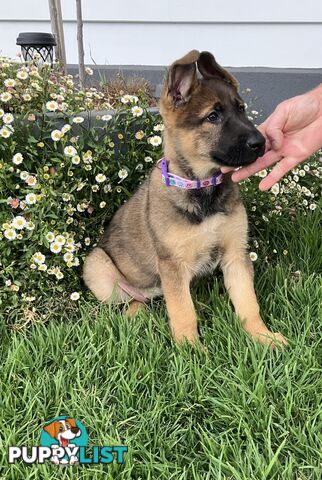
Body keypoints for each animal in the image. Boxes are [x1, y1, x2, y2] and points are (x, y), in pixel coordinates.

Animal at [83, 50, 286, 346]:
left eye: (241, 109)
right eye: (212, 116)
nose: (261, 143)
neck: (203, 187)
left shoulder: (235, 254)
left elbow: (248, 302)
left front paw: (263, 337)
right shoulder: (173, 265)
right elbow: (182, 312)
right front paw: (191, 349)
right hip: (98, 269)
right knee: (131, 301)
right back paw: (134, 316)